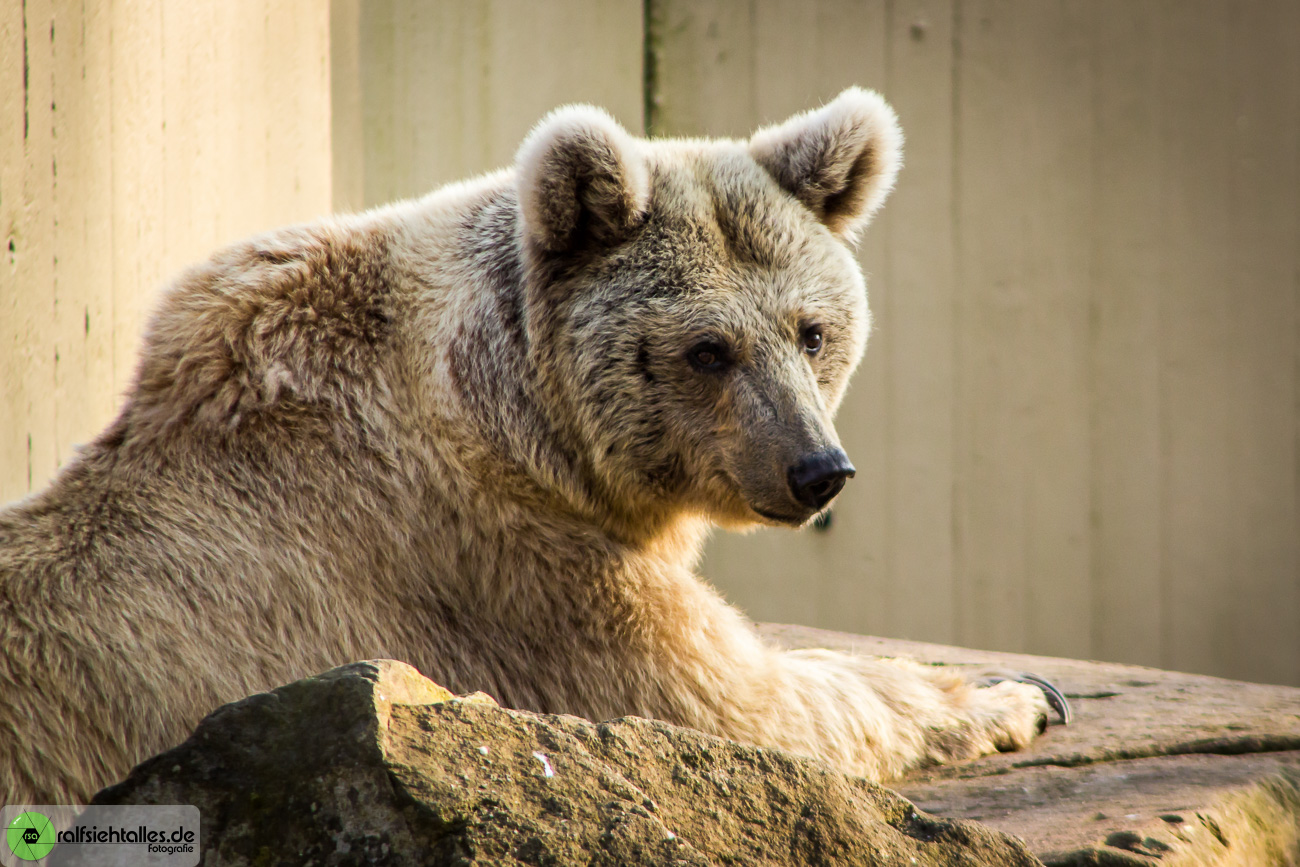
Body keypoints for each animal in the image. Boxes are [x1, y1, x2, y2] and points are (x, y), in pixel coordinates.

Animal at [0, 86, 1060, 800]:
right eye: (707, 348)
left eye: (812, 331)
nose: (816, 469)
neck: (525, 425)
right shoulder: (506, 572)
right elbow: (736, 707)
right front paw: (1012, 689)